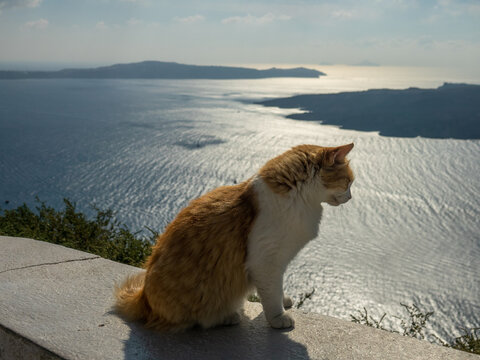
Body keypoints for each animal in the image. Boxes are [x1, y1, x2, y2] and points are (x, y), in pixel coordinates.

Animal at [114, 143, 354, 332]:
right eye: (348, 182)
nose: (351, 197)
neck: (301, 198)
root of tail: (142, 297)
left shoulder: (276, 262)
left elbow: (277, 288)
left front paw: (284, 301)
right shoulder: (265, 261)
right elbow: (271, 294)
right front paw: (278, 318)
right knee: (198, 321)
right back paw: (228, 316)